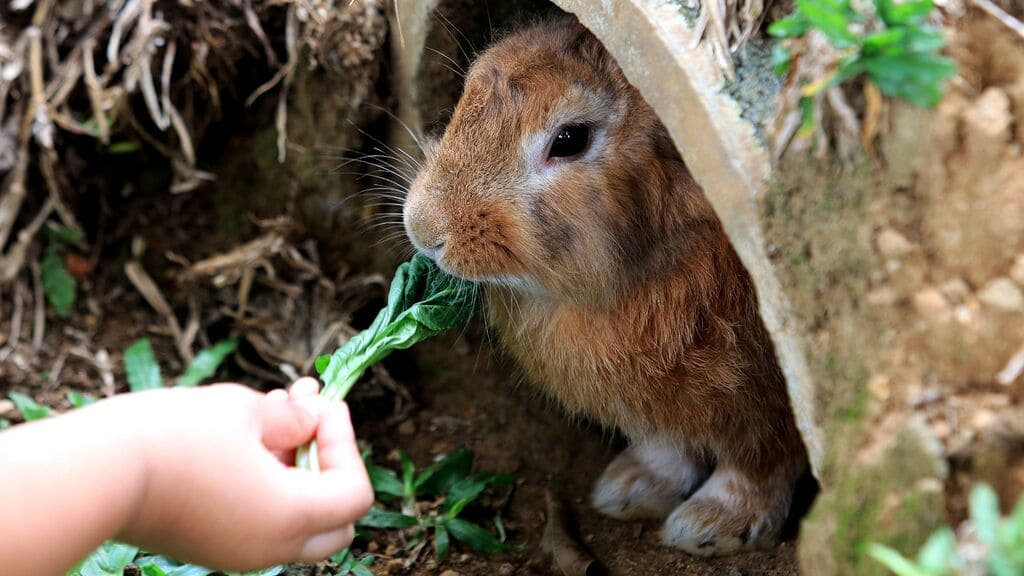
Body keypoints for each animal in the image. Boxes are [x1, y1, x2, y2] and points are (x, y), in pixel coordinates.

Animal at [399, 16, 806, 557]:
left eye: (570, 139)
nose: (424, 229)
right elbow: (666, 445)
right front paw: (627, 489)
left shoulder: (766, 403)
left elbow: (759, 464)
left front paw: (711, 525)